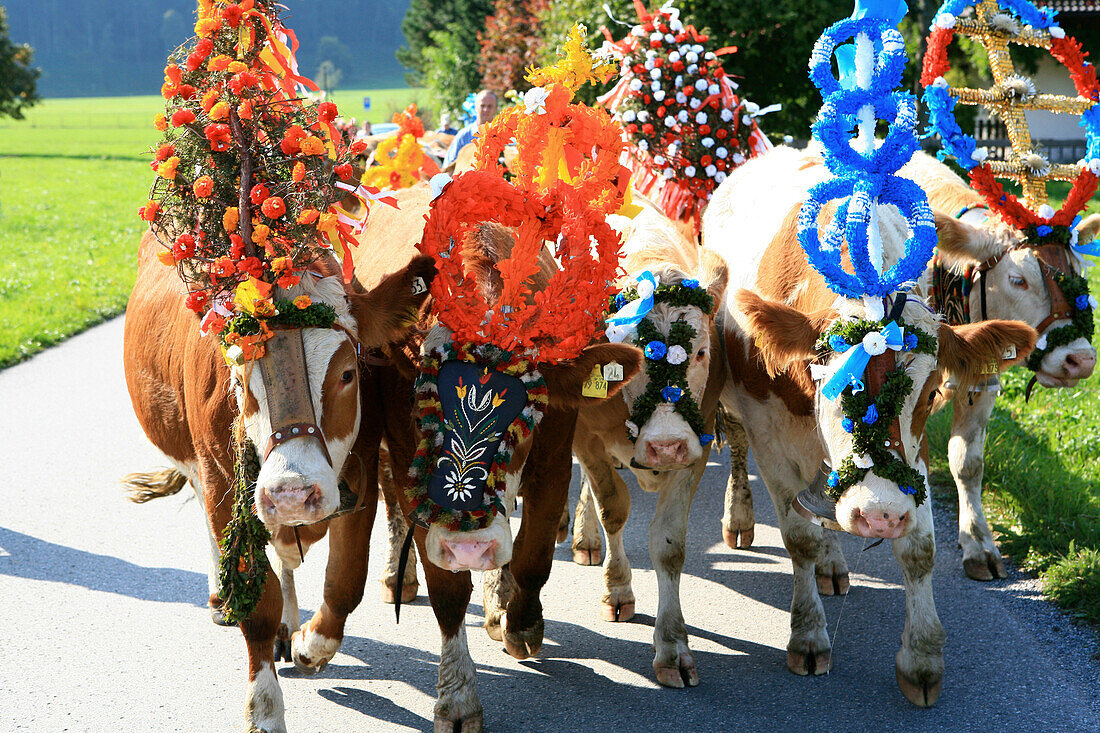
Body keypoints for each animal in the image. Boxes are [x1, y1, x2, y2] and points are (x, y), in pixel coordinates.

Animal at [123, 230, 433, 730]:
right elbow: (259, 604)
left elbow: (346, 577)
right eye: (239, 374)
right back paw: (223, 598)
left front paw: (309, 645)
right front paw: (264, 708)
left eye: (348, 374)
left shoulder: (361, 469)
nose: (291, 494)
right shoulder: (222, 482)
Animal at [352, 183, 642, 730]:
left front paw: (522, 624)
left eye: (526, 416)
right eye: (423, 410)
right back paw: (400, 575)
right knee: (393, 508)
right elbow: (447, 590)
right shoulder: (405, 462)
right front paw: (457, 698)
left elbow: (533, 557)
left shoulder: (552, 462)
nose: (471, 544)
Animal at [558, 205, 730, 686]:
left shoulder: (697, 443)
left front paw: (672, 645)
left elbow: (669, 545)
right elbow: (613, 509)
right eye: (629, 359)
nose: (665, 446)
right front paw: (616, 590)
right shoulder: (585, 436)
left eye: (701, 353)